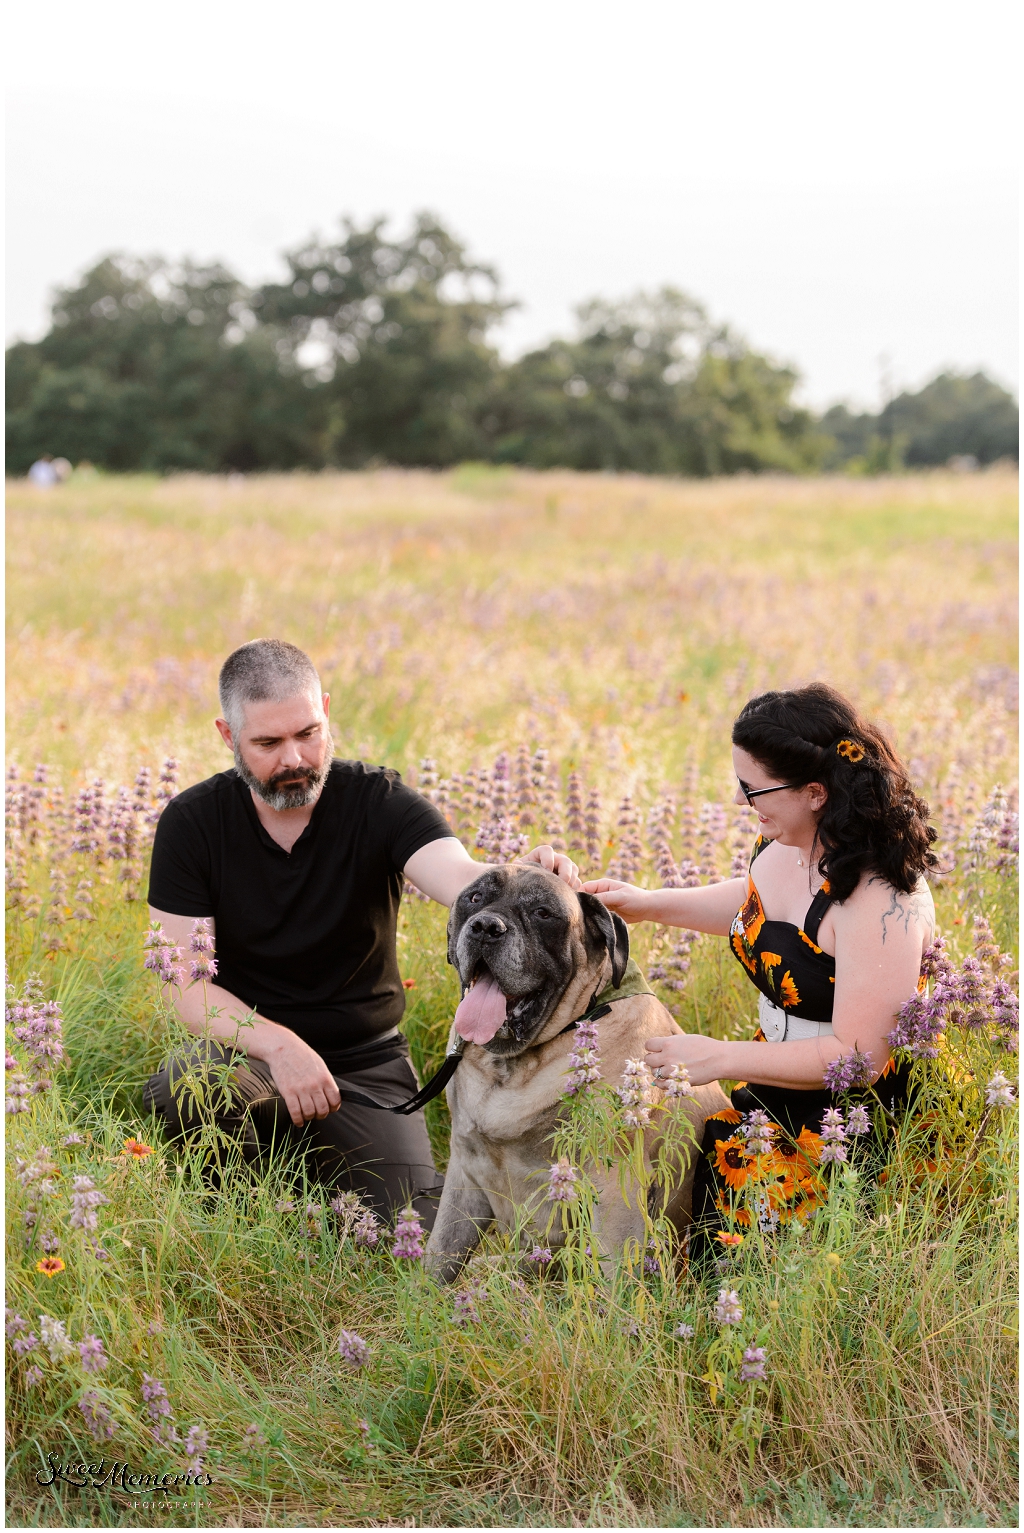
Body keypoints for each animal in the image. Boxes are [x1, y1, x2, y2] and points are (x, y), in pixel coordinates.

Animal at [423, 864, 726, 1281]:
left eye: (543, 913)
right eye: (475, 897)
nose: (485, 926)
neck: (514, 1066)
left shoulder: (614, 1189)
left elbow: (617, 1279)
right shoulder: (464, 1172)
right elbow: (439, 1256)